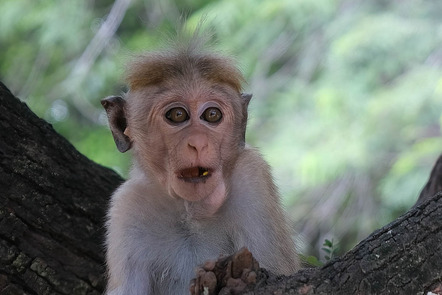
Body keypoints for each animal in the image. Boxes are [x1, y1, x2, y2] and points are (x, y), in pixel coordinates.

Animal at [102, 33, 298, 295]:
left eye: (212, 115)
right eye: (177, 115)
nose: (198, 143)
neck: (191, 212)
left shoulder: (252, 179)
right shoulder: (126, 206)